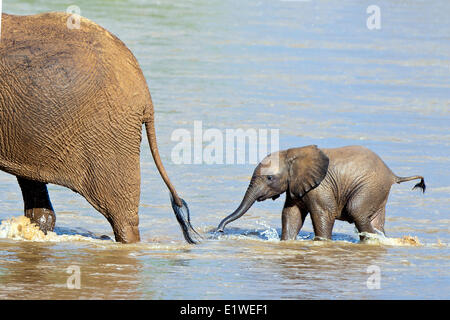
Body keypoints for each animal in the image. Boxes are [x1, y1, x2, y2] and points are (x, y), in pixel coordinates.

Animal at [218, 145, 426, 240]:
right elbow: (291, 215)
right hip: (377, 191)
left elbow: (323, 214)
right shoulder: (295, 187)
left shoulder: (320, 187)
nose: (219, 231)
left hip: (370, 186)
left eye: (269, 178)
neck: (291, 154)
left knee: (357, 211)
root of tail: (392, 174)